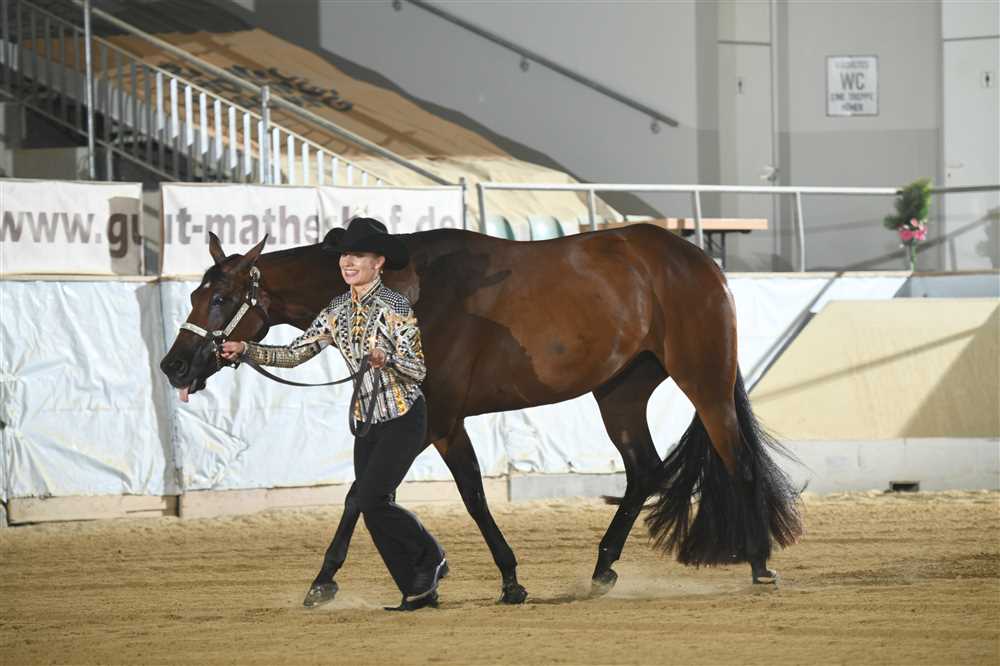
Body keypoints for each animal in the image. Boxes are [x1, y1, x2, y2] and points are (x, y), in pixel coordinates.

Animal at [160, 224, 803, 604]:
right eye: (194, 294)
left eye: (221, 298)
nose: (174, 365)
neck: (412, 288)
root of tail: (699, 261)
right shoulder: (442, 426)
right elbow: (446, 495)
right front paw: (503, 578)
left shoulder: (435, 419)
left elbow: (381, 496)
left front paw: (324, 582)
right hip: (620, 393)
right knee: (644, 470)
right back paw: (602, 570)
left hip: (705, 383)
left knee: (739, 462)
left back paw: (759, 566)